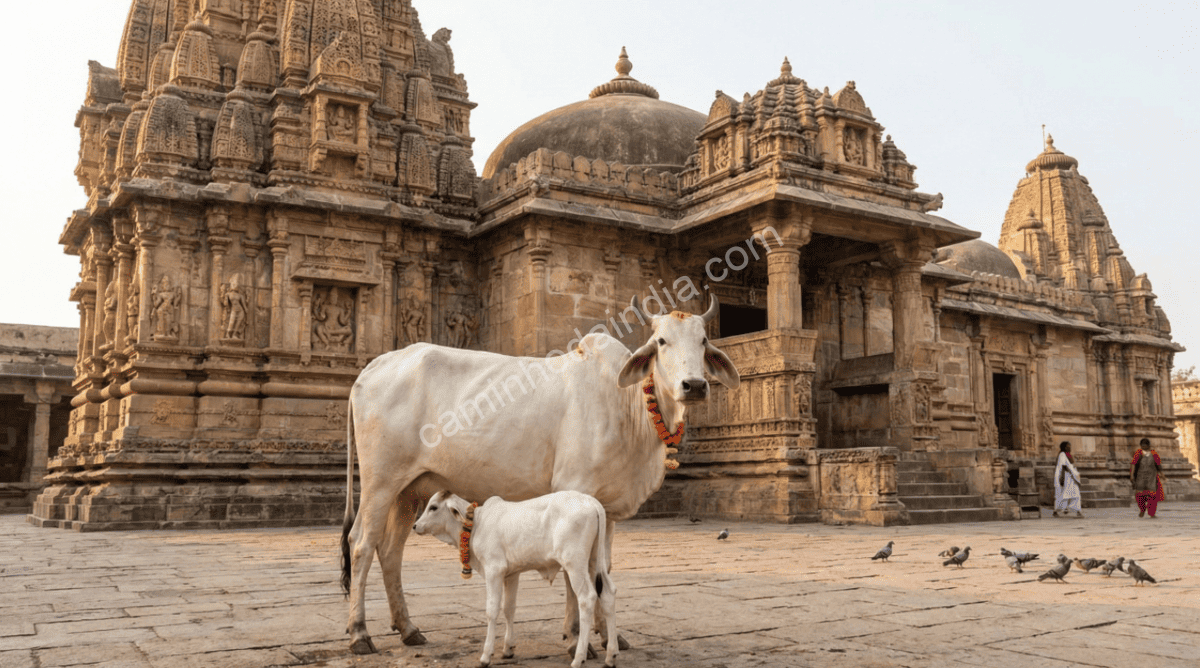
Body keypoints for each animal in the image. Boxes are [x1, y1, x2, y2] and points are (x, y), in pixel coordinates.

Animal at [413, 490, 618, 668]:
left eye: (433, 507)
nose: (415, 526)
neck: (477, 524)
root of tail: (589, 500)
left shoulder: (494, 570)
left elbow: (492, 610)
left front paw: (486, 655)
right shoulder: (511, 574)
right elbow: (509, 608)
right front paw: (508, 649)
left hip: (575, 564)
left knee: (587, 598)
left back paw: (579, 658)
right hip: (594, 561)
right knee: (608, 594)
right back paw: (611, 656)